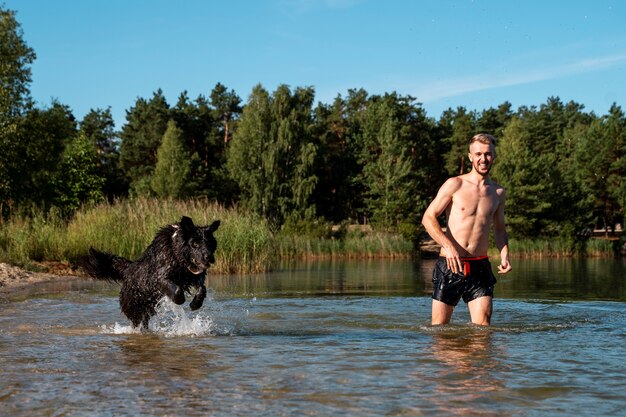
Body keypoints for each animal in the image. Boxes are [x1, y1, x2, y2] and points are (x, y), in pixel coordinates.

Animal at [81, 214, 219, 328]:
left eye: (209, 243)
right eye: (195, 244)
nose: (209, 257)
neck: (177, 254)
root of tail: (128, 269)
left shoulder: (195, 277)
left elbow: (202, 289)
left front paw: (196, 304)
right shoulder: (159, 277)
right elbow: (177, 290)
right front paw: (179, 300)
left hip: (148, 308)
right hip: (135, 308)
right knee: (137, 323)